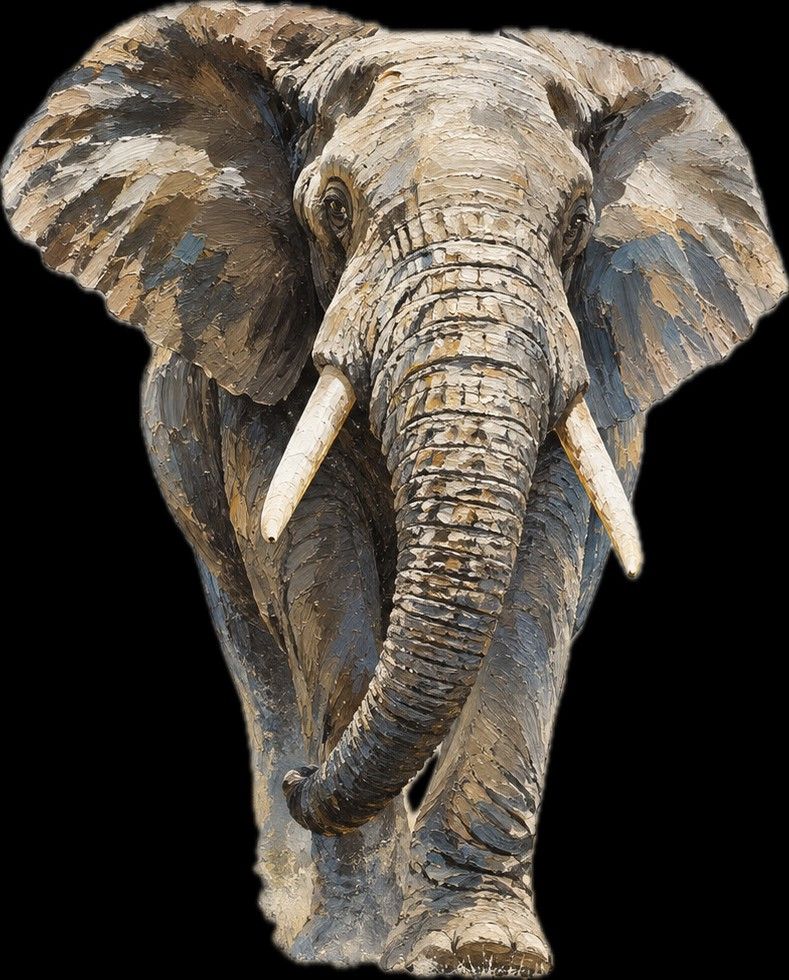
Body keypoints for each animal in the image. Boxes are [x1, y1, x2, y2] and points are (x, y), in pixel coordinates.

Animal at [2, 3, 785, 974]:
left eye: (576, 223)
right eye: (334, 209)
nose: (304, 782)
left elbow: (536, 576)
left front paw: (477, 948)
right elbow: (315, 562)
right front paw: (351, 945)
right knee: (256, 645)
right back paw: (292, 902)